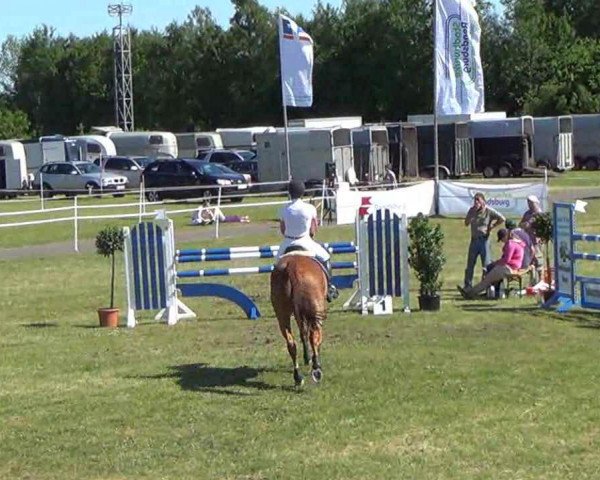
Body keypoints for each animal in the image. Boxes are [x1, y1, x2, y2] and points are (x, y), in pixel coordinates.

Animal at [272, 253, 328, 388]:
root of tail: (291, 267)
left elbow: (303, 336)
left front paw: (307, 358)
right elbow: (315, 338)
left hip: (282, 315)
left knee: (292, 343)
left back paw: (298, 377)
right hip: (315, 312)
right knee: (313, 336)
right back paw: (316, 369)